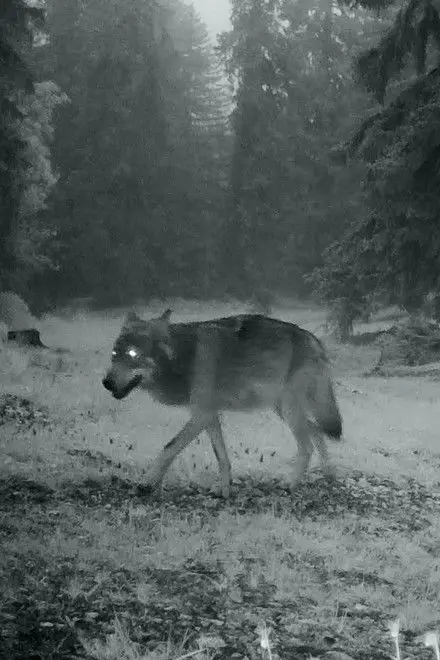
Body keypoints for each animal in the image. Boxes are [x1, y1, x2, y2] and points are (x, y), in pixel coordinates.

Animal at [102, 309, 343, 497]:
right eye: (114, 353)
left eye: (133, 354)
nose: (106, 382)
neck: (184, 359)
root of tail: (315, 340)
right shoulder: (209, 415)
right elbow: (222, 457)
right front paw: (223, 491)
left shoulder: (200, 415)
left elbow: (169, 447)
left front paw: (146, 484)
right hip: (282, 410)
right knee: (317, 431)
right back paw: (329, 473)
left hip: (289, 410)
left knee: (307, 446)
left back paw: (290, 484)